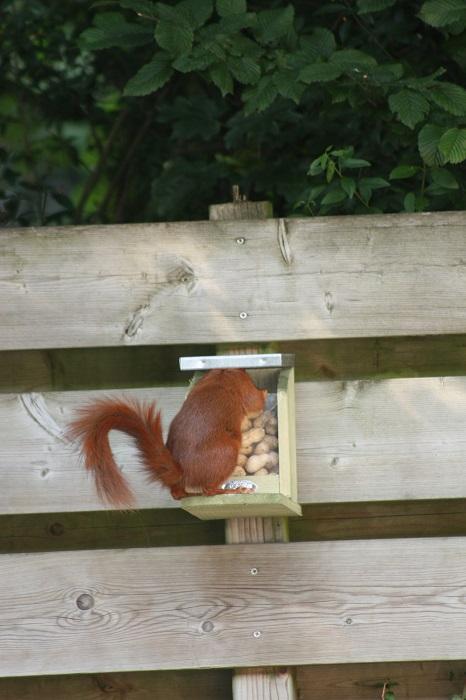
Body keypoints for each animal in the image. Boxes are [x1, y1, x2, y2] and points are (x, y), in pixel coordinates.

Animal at [68, 368, 267, 507]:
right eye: (248, 376)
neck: (221, 373)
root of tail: (182, 471)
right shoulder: (244, 388)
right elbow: (255, 402)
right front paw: (264, 392)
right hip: (227, 453)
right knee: (209, 491)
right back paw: (236, 490)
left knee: (179, 494)